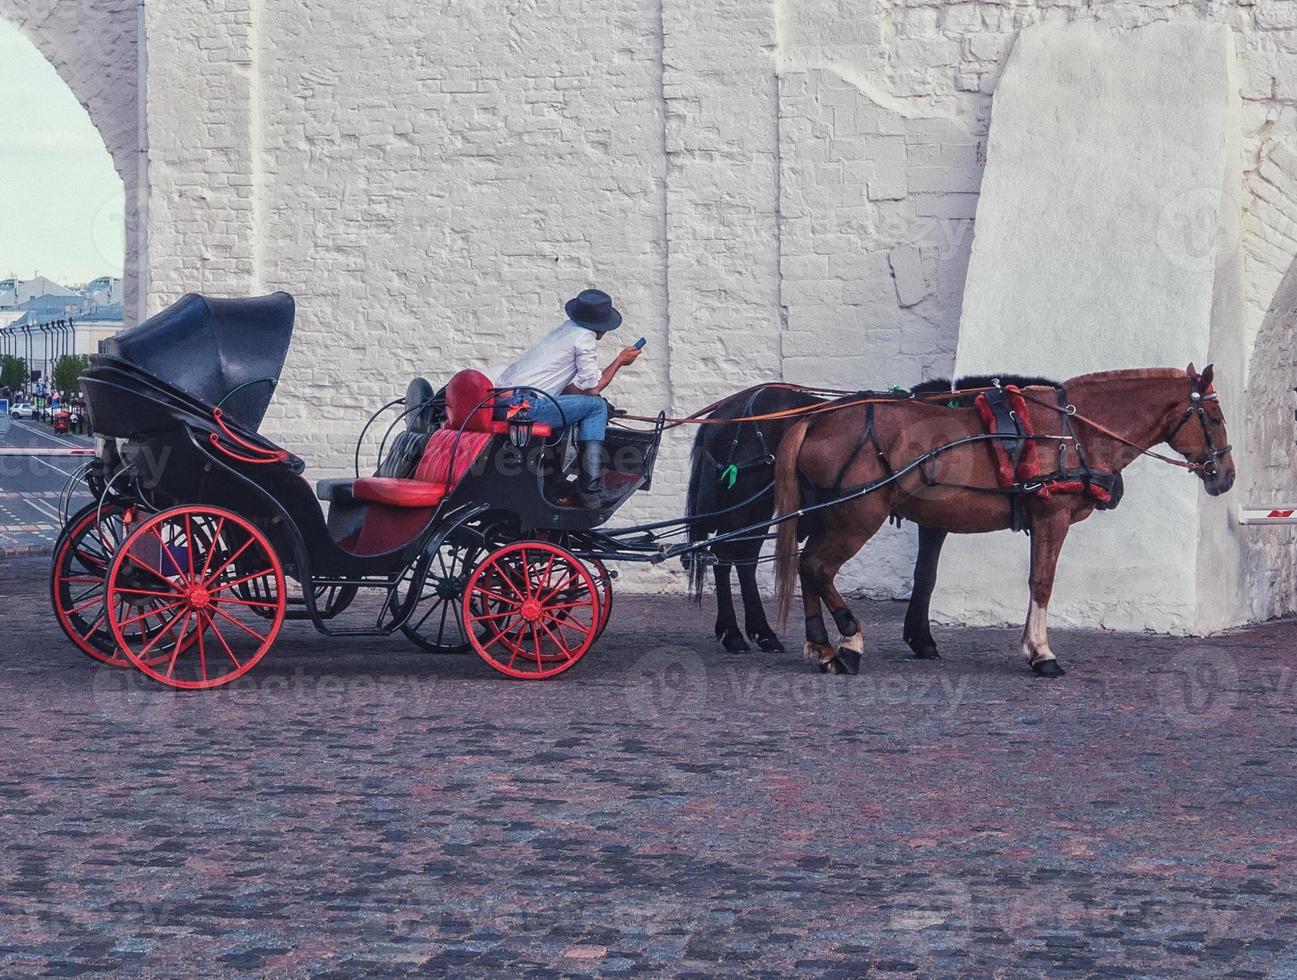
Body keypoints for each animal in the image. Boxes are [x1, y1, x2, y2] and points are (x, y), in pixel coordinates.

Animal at [684, 375, 1058, 658]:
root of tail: (726, 411)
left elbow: (925, 574)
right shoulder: (933, 518)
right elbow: (926, 575)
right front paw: (922, 639)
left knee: (738, 558)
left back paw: (758, 633)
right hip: (744, 503)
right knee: (726, 556)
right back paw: (737, 633)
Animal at [767, 362, 1234, 679]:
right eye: (1215, 418)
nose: (1226, 476)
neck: (1072, 433)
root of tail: (819, 418)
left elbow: (1032, 581)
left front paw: (1031, 647)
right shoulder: (1052, 516)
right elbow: (1042, 583)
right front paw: (1042, 653)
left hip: (831, 517)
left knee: (807, 566)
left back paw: (820, 646)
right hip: (858, 516)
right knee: (818, 567)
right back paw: (849, 642)